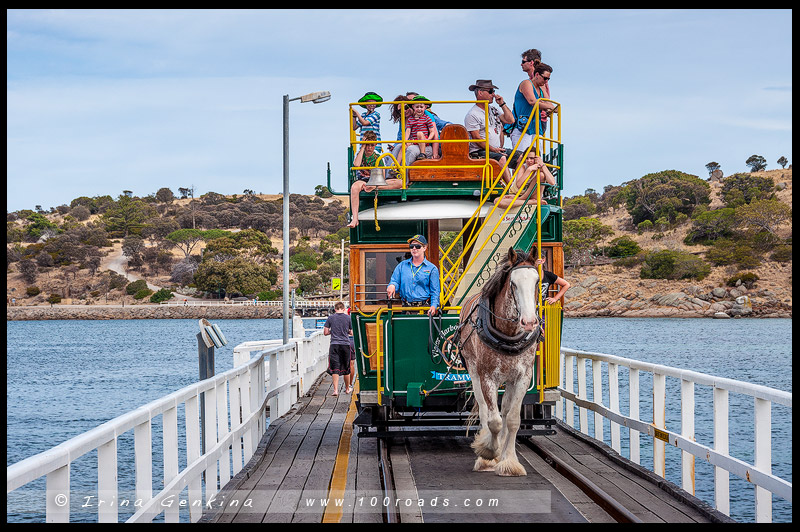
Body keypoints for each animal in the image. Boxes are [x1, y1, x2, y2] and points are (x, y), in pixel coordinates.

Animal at [456, 247, 544, 476]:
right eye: (513, 283)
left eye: (537, 281)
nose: (529, 322)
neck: (509, 334)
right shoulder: (487, 377)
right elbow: (493, 420)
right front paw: (488, 452)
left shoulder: (523, 377)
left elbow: (512, 419)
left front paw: (509, 461)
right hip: (474, 371)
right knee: (485, 409)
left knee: (504, 410)